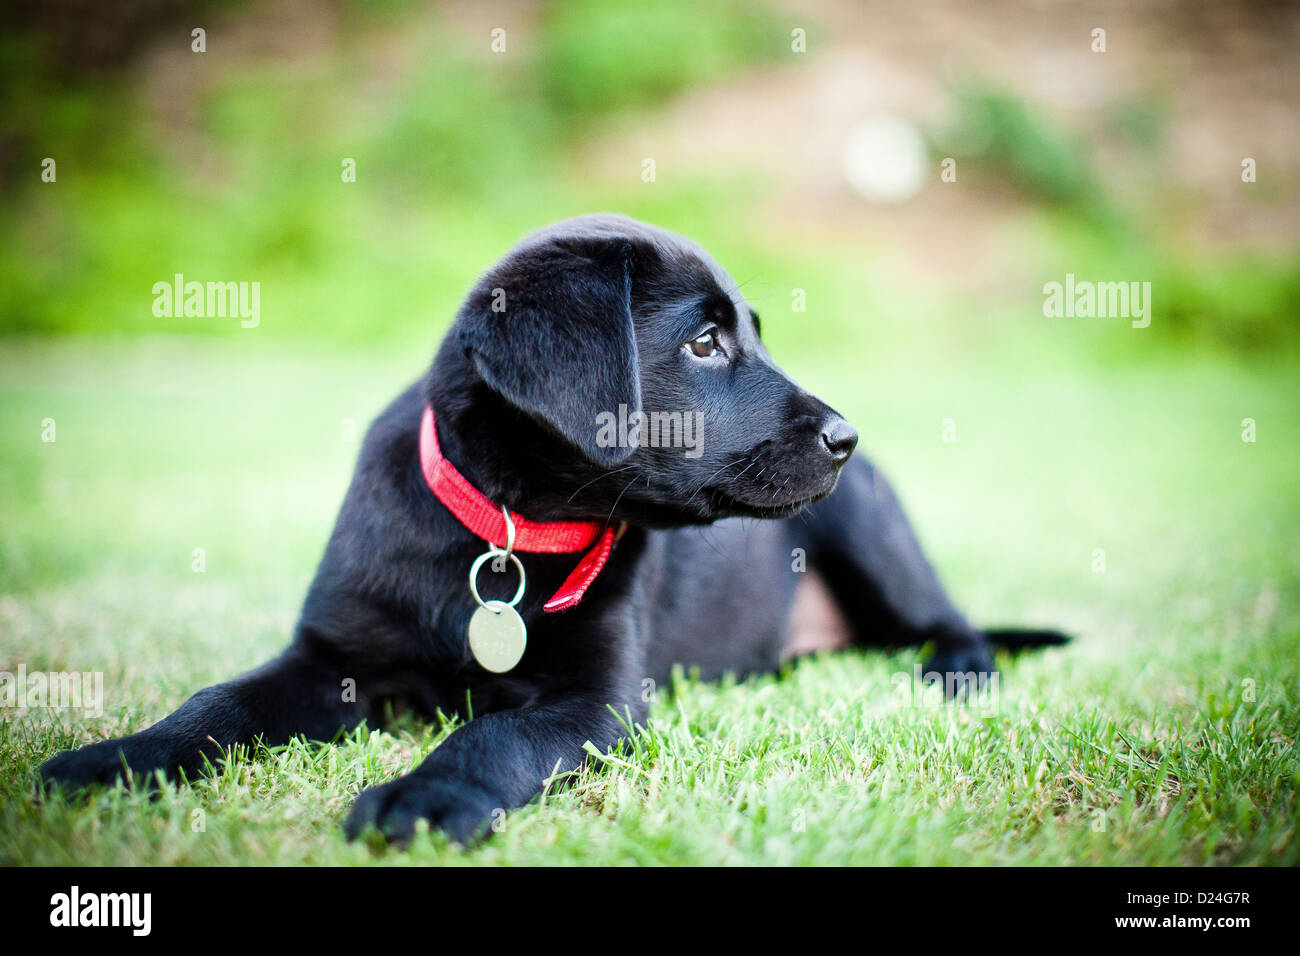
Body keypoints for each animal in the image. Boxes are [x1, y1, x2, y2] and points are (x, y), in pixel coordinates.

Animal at [40, 213, 1066, 842]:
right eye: (705, 342)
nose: (848, 435)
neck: (506, 530)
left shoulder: (598, 698)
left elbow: (494, 737)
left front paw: (425, 796)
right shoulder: (328, 656)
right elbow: (218, 703)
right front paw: (117, 759)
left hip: (870, 528)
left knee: (949, 618)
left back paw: (957, 674)